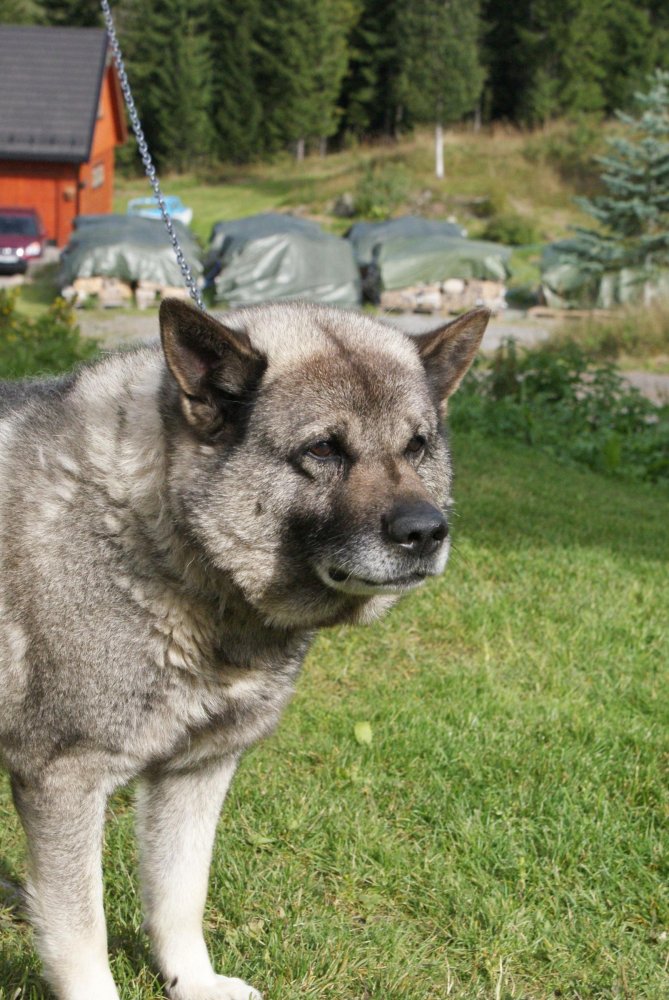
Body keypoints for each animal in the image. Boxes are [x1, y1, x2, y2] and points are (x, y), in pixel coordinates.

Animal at [0, 298, 488, 1000]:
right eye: (323, 448)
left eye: (416, 446)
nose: (426, 531)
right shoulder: (63, 778)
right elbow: (80, 934)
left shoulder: (197, 770)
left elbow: (179, 897)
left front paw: (194, 983)